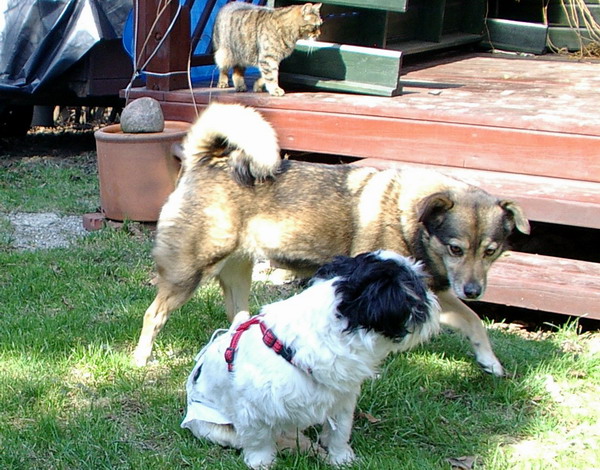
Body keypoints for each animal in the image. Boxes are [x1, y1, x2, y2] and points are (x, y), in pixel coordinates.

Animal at [133, 103, 530, 376]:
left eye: (491, 252)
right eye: (455, 248)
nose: (474, 290)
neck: (408, 217)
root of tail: (206, 160)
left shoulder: (437, 295)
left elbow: (474, 321)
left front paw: (490, 362)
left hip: (237, 274)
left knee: (237, 317)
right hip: (187, 274)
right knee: (153, 315)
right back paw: (140, 359)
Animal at [181, 250, 440, 469]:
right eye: (419, 296)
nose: (434, 300)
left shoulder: (343, 399)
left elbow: (339, 432)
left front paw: (341, 458)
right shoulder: (252, 410)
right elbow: (258, 441)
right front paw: (262, 463)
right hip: (214, 427)